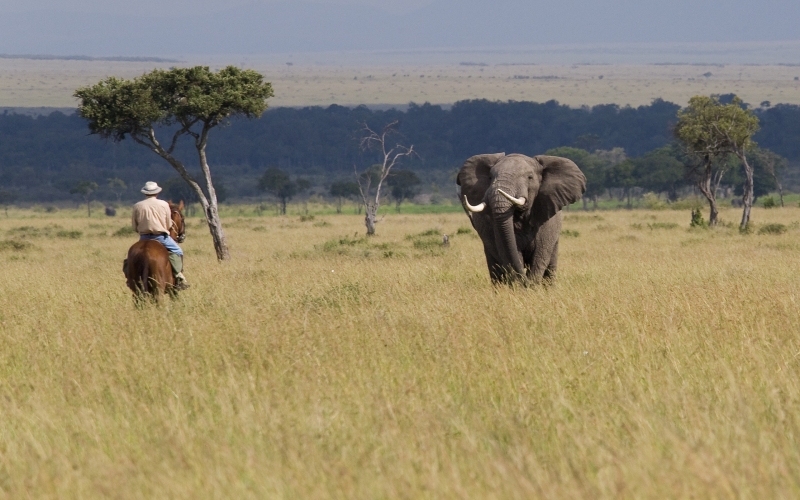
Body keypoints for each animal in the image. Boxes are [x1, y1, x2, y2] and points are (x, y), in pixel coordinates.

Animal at [456, 152, 588, 286]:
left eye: (530, 177)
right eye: (490, 177)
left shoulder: (547, 223)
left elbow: (539, 256)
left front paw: (532, 286)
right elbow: (512, 254)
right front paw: (521, 286)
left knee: (550, 266)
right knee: (495, 269)